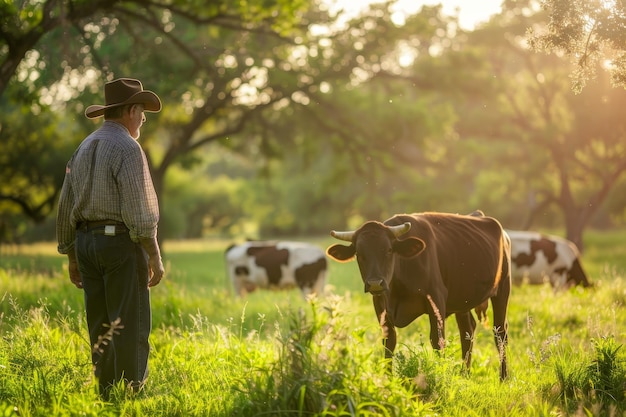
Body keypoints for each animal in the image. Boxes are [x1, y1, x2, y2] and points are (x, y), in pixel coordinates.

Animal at [324, 213, 510, 378]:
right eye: (359, 254)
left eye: (389, 250)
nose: (375, 283)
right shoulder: (380, 305)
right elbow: (388, 342)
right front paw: (387, 381)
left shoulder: (436, 300)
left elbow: (437, 341)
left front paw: (440, 376)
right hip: (462, 301)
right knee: (468, 330)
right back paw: (465, 374)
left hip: (502, 288)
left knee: (500, 333)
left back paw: (503, 378)